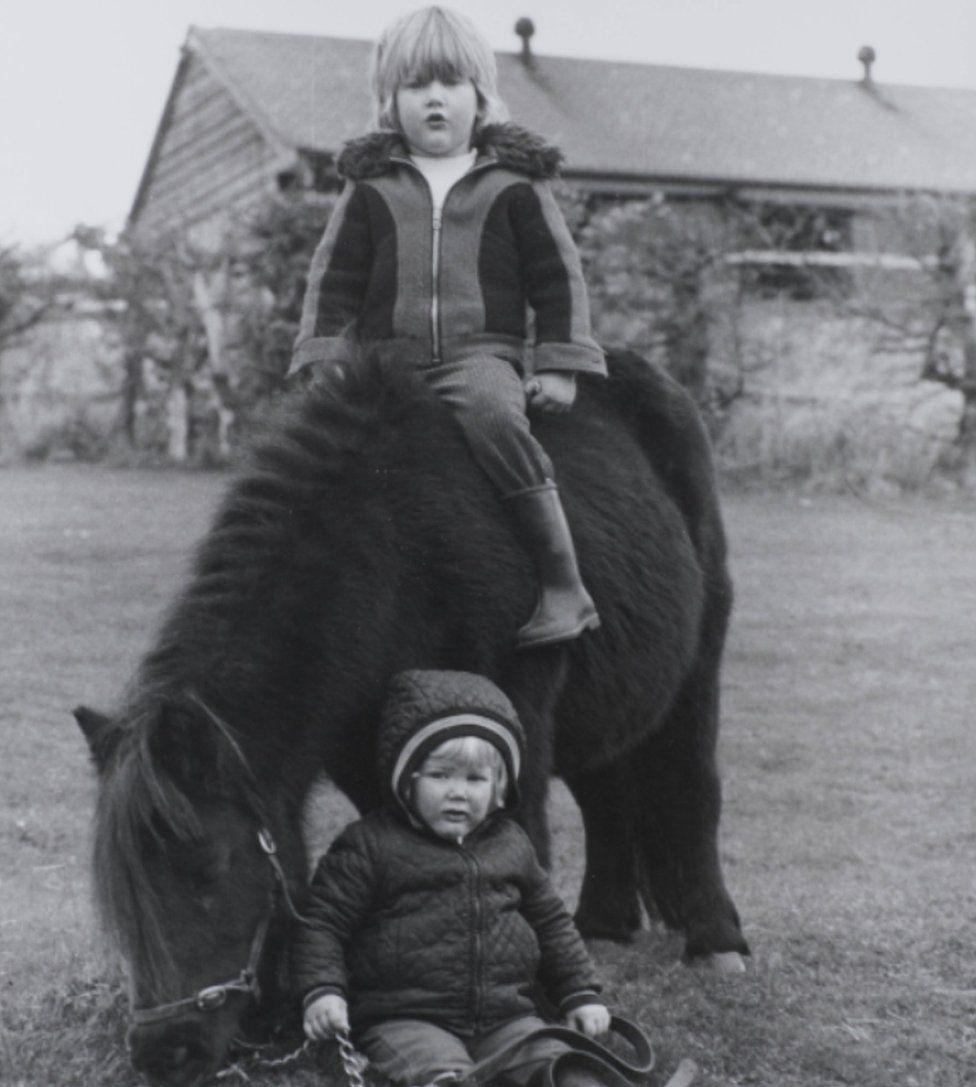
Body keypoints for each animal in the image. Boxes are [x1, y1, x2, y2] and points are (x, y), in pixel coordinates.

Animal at [78, 350, 747, 1087]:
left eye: (207, 869)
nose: (163, 1052)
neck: (394, 552)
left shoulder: (513, 728)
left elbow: (520, 849)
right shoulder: (368, 750)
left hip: (695, 671)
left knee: (691, 786)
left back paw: (716, 940)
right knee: (606, 798)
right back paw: (602, 925)